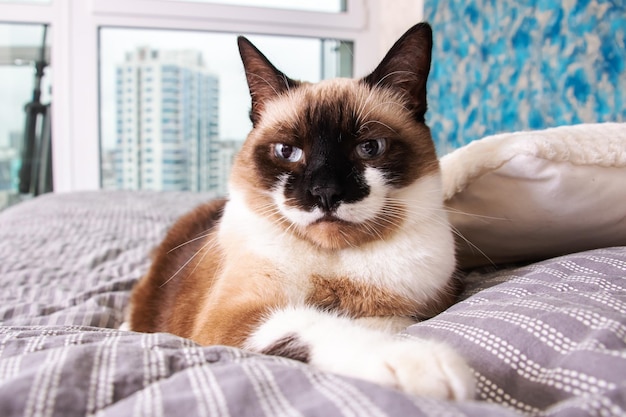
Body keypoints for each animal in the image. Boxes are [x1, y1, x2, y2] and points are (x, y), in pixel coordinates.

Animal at [129, 22, 476, 400]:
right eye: (287, 151)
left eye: (369, 148)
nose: (325, 193)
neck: (336, 264)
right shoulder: (233, 320)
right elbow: (321, 324)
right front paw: (420, 362)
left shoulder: (418, 306)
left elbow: (384, 322)